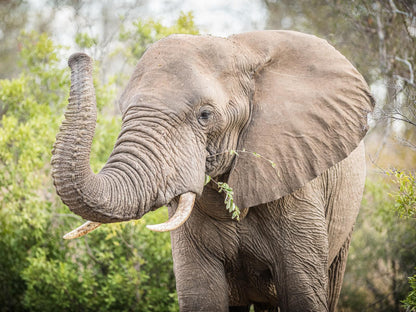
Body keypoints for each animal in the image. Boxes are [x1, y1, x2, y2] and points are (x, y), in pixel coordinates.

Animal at [51, 29, 374, 312]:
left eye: (204, 116)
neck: (241, 50)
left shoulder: (297, 181)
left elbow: (302, 294)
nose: (78, 56)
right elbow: (201, 295)